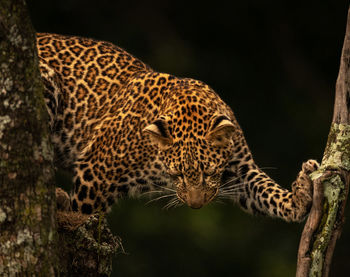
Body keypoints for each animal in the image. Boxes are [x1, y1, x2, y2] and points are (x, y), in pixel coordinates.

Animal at [37, 33, 318, 222]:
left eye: (209, 172)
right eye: (179, 174)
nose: (196, 206)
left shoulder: (240, 171)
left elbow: (266, 191)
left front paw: (298, 198)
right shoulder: (95, 171)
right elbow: (83, 211)